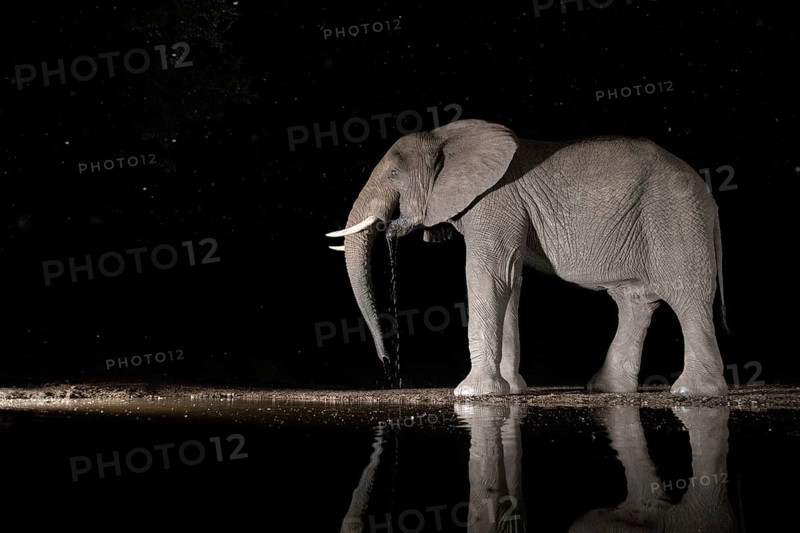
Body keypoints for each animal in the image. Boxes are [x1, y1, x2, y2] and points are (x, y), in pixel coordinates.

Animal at [326, 119, 728, 397]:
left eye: (394, 173)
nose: (388, 368)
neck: (444, 136)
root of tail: (709, 197)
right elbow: (509, 281)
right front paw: (510, 390)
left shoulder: (495, 200)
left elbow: (487, 276)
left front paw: (472, 394)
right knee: (634, 299)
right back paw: (606, 388)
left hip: (674, 215)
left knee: (684, 292)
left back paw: (693, 392)